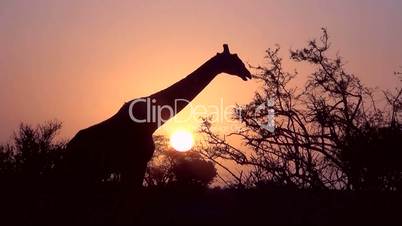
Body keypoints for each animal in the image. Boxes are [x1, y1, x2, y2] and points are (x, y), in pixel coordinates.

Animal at [55, 44, 251, 191]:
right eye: (234, 60)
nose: (247, 73)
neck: (153, 121)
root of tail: (67, 149)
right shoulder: (137, 162)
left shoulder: (131, 166)